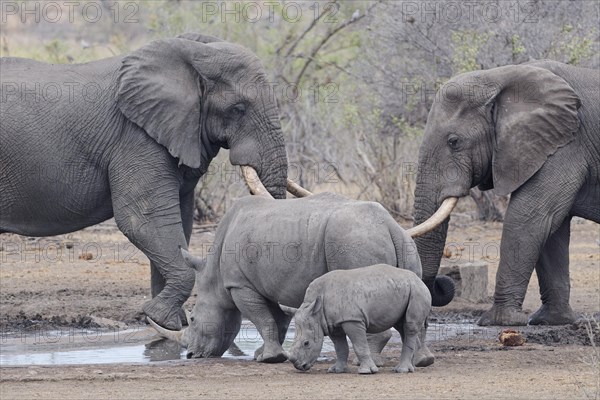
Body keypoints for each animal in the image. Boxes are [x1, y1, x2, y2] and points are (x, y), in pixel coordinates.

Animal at [0, 33, 310, 328]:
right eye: (238, 109)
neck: (194, 54)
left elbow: (179, 223)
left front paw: (168, 322)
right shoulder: (135, 136)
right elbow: (145, 219)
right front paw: (159, 317)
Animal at [288, 264, 432, 374]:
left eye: (306, 343)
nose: (299, 367)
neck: (316, 311)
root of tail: (420, 280)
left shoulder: (352, 319)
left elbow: (359, 345)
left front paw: (367, 371)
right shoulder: (332, 322)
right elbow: (340, 346)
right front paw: (337, 370)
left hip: (417, 291)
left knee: (409, 326)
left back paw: (402, 370)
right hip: (404, 289)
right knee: (402, 326)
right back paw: (411, 368)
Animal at [412, 61, 600, 326]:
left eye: (453, 141)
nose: (444, 281)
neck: (498, 77)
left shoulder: (565, 146)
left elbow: (529, 219)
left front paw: (499, 321)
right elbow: (551, 228)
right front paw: (551, 320)